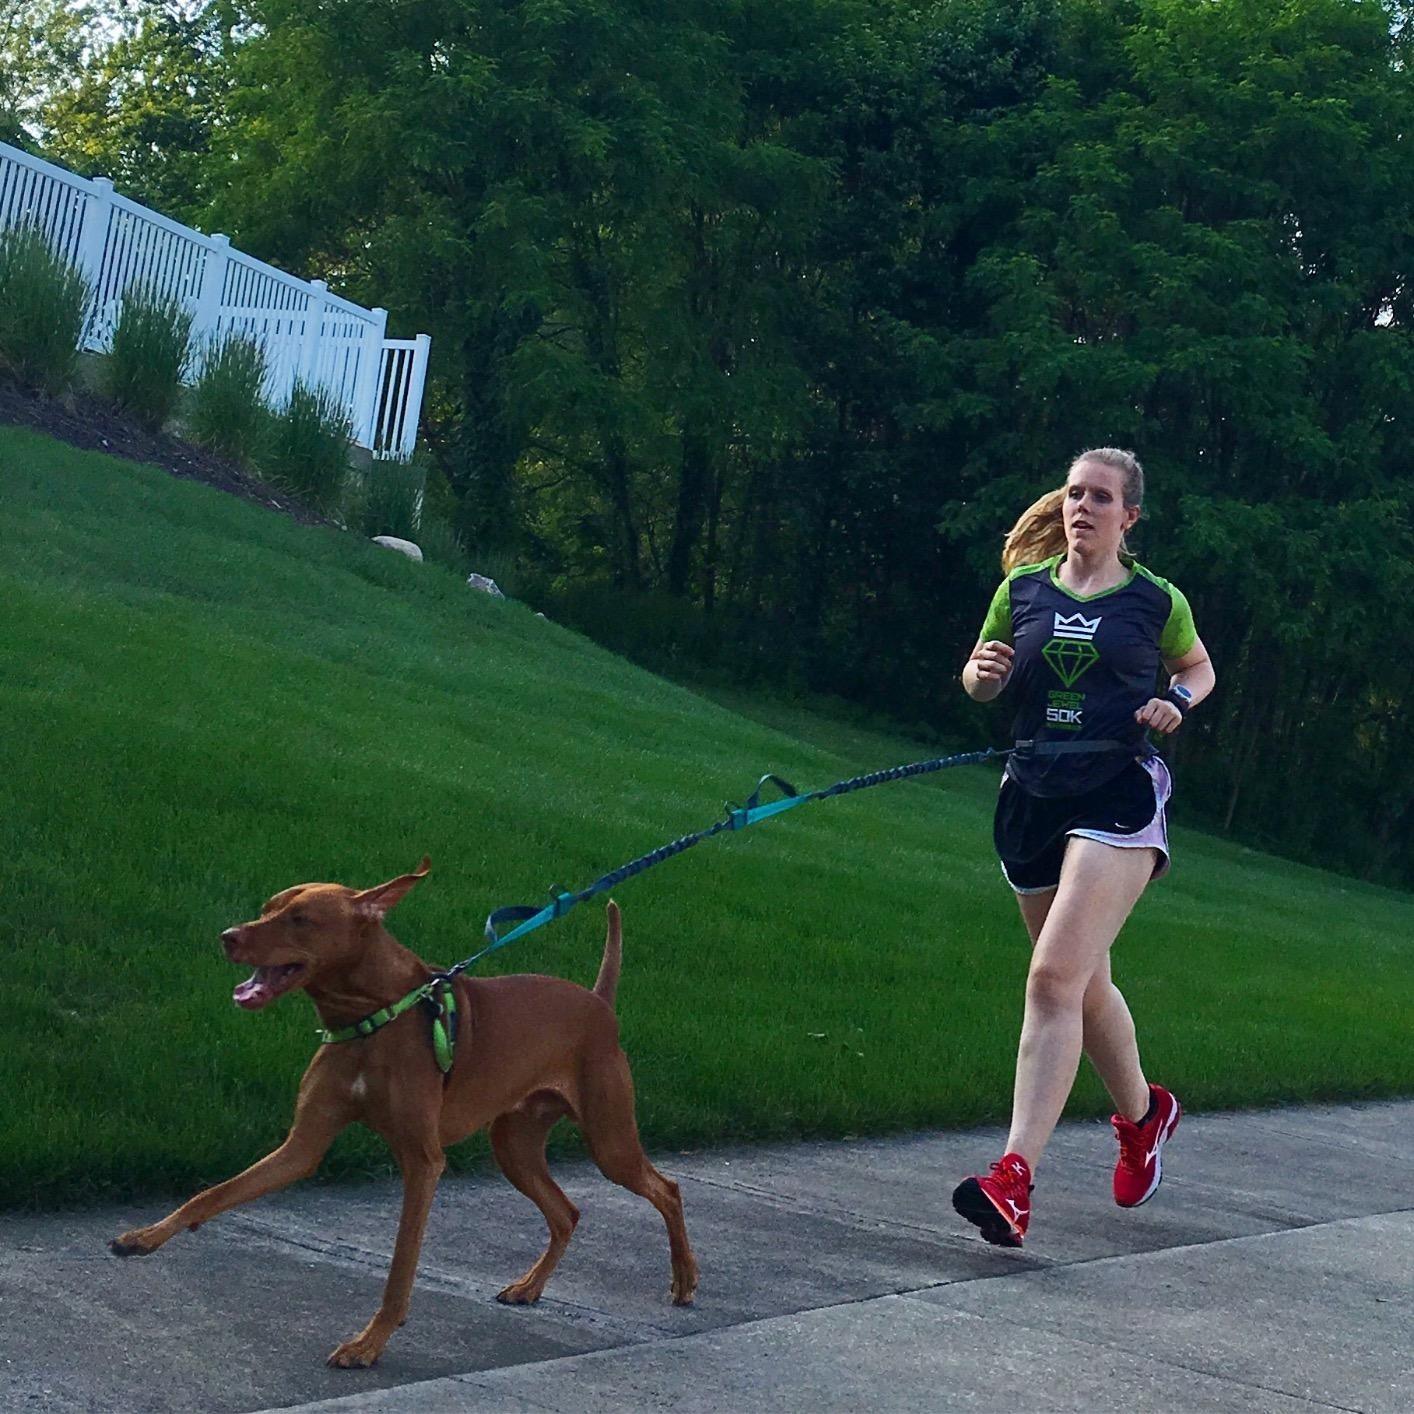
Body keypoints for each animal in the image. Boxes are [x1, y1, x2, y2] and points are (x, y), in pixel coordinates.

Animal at [113, 854, 698, 1363]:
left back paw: (685, 1279)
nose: (228, 936)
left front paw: (368, 1344)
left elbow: (400, 1266)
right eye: (268, 905)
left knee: (665, 1189)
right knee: (567, 1212)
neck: (372, 1018)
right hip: (514, 1146)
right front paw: (144, 1237)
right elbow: (212, 1194)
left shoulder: (423, 1161)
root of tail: (598, 1001)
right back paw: (530, 1287)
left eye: (301, 919)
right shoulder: (302, 1147)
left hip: (609, 1141)